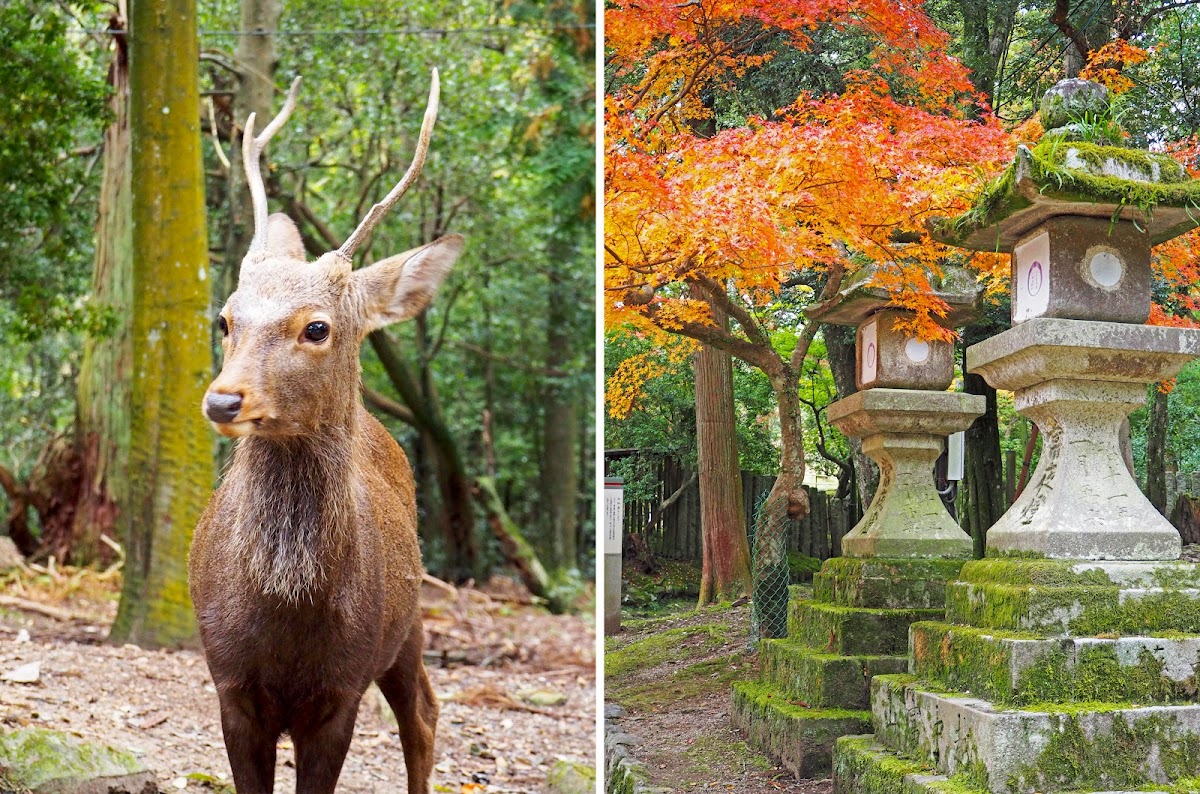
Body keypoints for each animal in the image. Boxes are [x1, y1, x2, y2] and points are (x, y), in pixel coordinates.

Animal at [187, 68, 458, 794]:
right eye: (226, 318)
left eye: (316, 326)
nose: (224, 399)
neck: (286, 616)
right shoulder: (229, 685)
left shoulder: (341, 690)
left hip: (409, 621)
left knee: (424, 711)